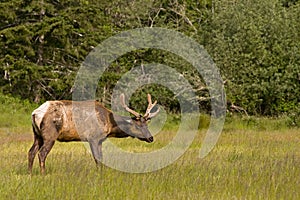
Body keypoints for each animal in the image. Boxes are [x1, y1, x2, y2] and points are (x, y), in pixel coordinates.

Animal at [28, 93, 159, 173]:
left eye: (147, 124)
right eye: (138, 125)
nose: (151, 138)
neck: (109, 124)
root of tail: (35, 113)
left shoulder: (100, 140)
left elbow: (101, 157)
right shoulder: (93, 138)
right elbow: (97, 158)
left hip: (37, 135)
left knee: (31, 152)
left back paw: (30, 173)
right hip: (50, 135)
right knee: (42, 153)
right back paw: (43, 174)